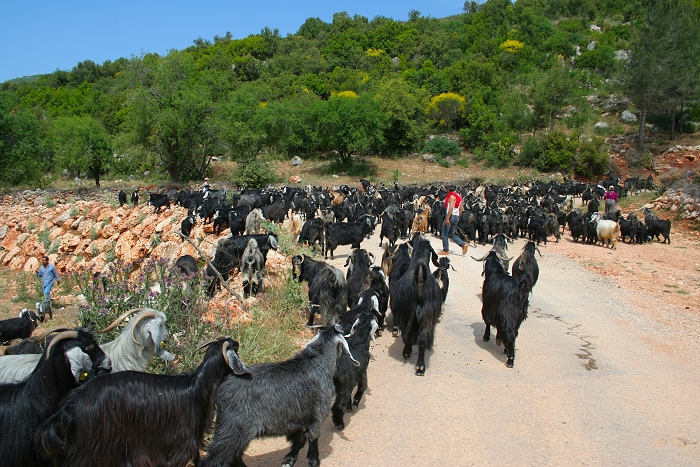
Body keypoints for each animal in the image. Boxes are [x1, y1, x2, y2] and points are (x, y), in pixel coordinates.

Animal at [36, 337, 249, 467]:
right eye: (234, 347)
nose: (238, 341)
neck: (197, 387)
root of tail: (67, 408)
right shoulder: (181, 439)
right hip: (92, 444)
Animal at [201, 324, 360, 467]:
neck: (318, 362)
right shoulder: (317, 414)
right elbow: (313, 438)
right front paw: (314, 461)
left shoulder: (297, 417)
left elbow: (299, 439)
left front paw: (289, 459)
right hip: (232, 429)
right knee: (215, 459)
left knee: (235, 456)